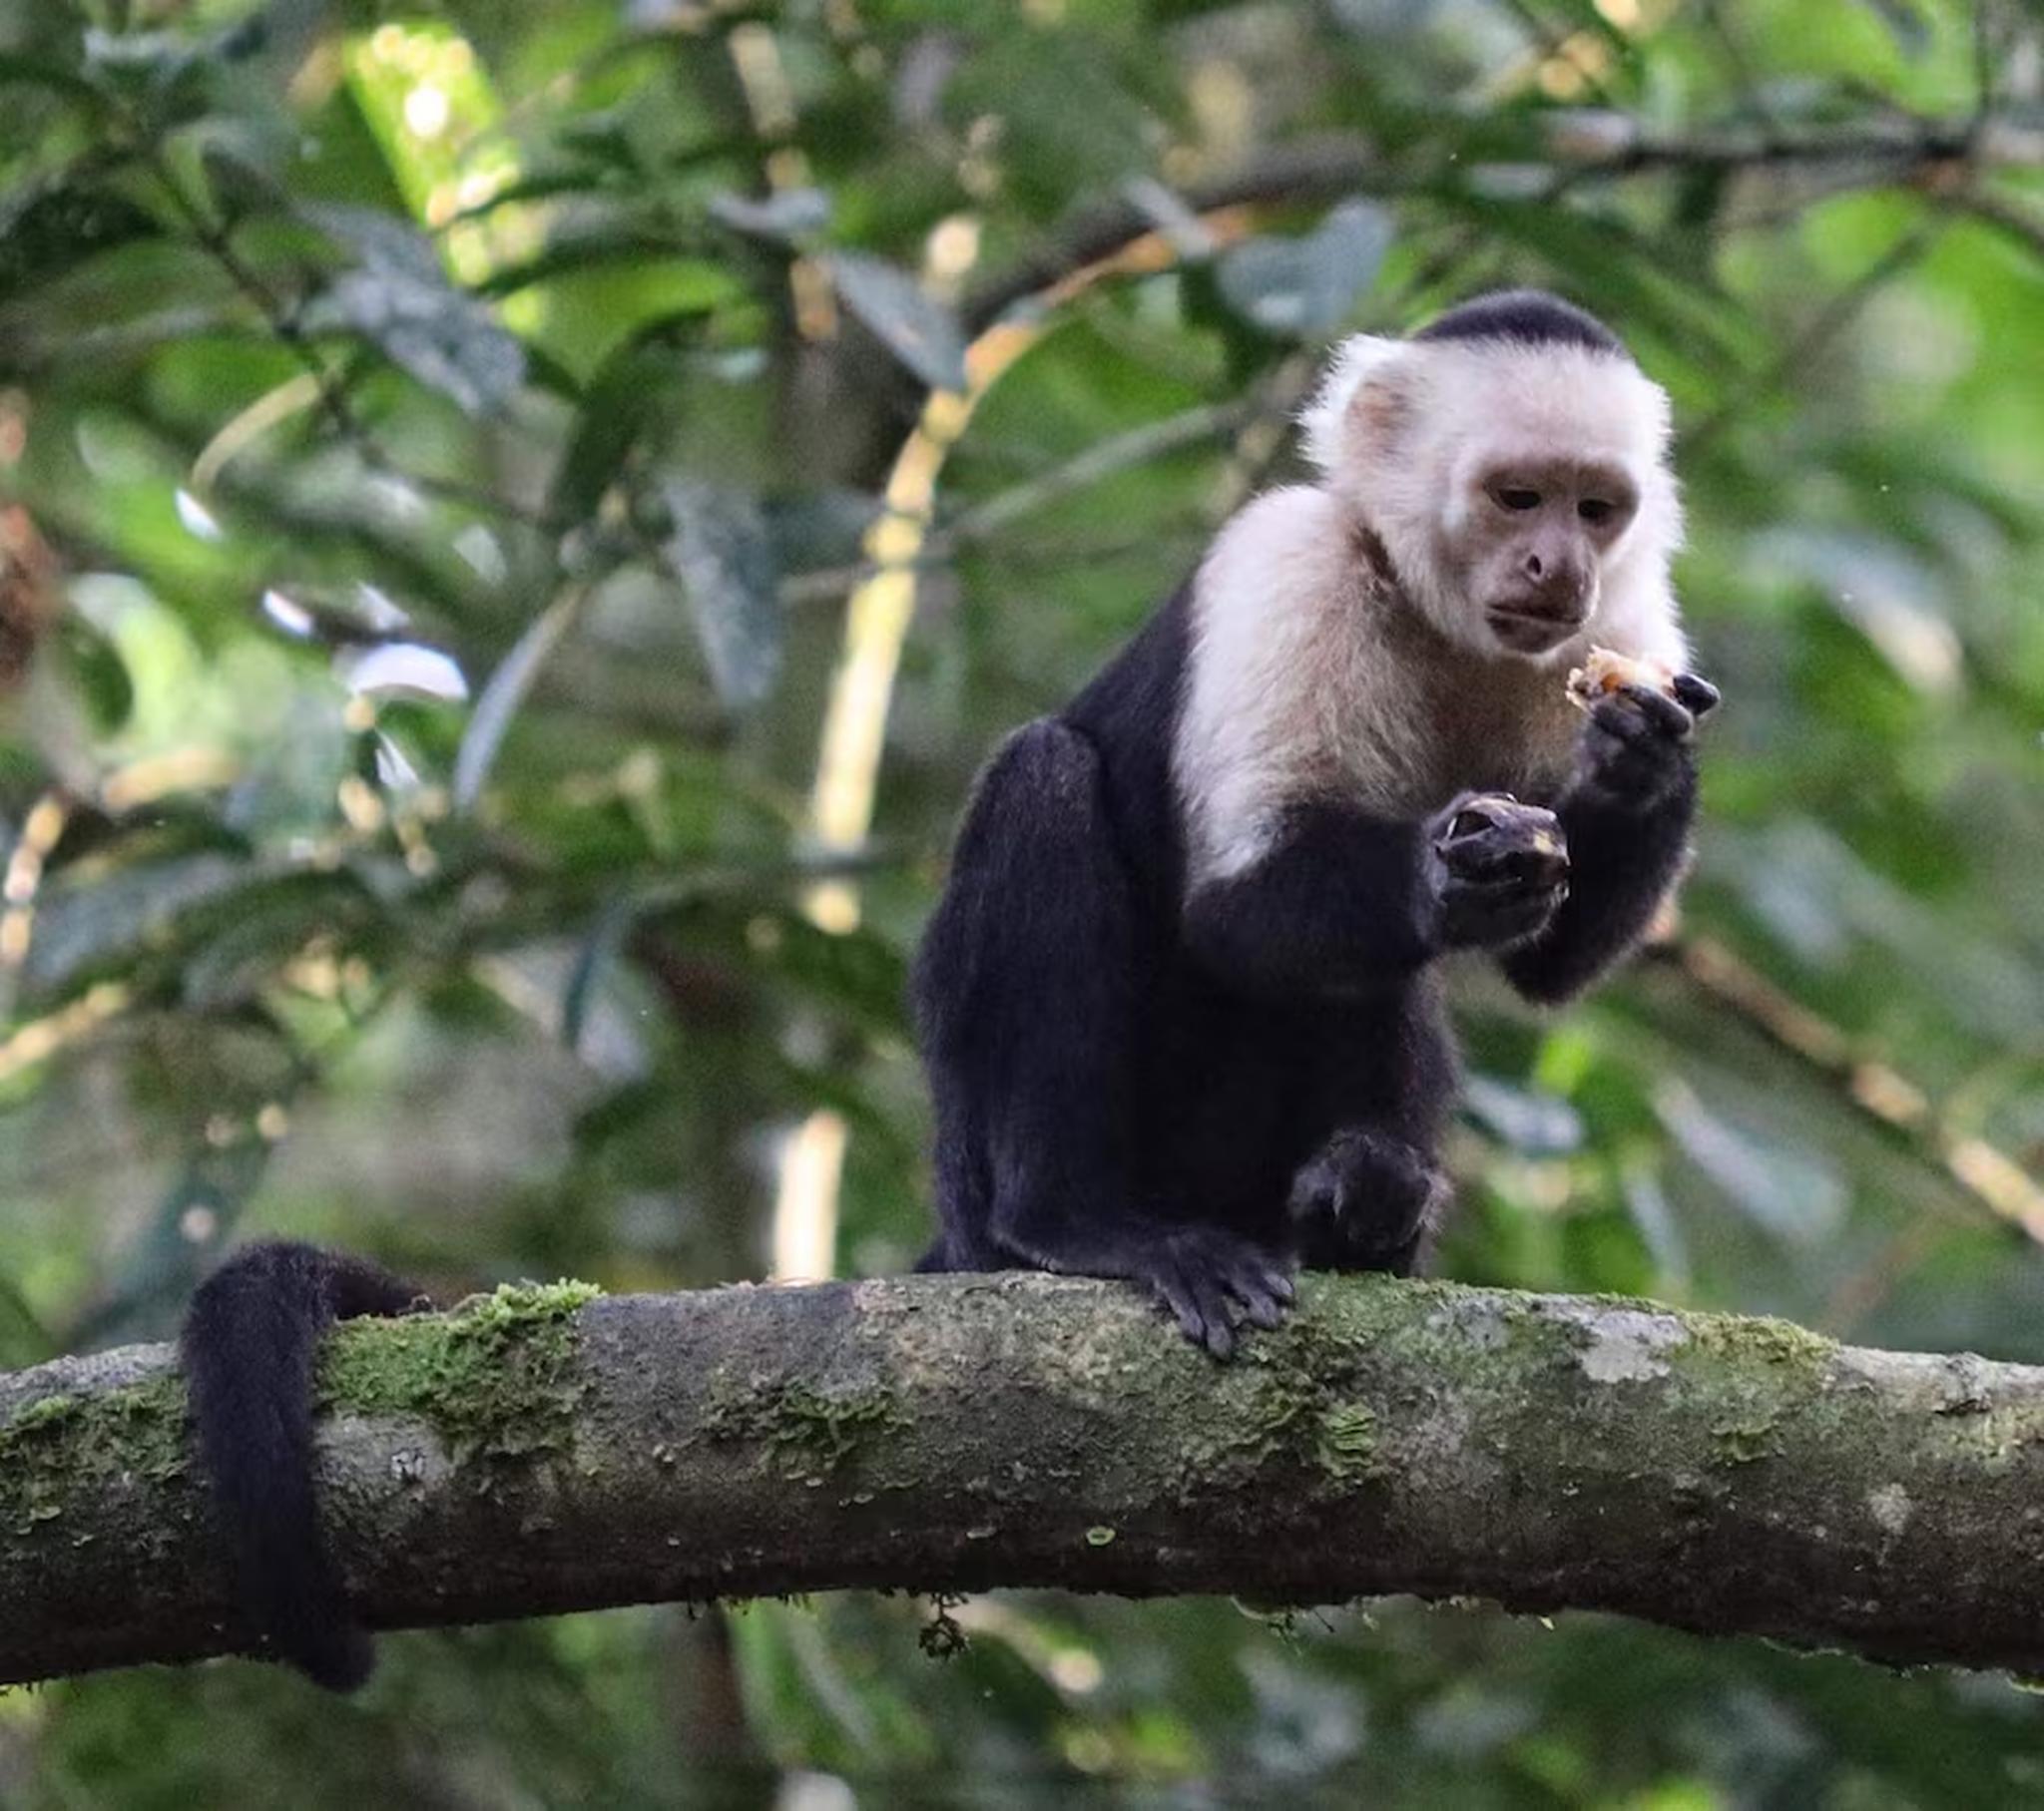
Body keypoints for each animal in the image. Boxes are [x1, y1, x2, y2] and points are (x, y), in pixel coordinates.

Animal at [911, 289, 1716, 1355]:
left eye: (1595, 509)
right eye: (1517, 497)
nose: (1558, 568)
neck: (1437, 616)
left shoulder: (1626, 620)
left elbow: (1554, 962)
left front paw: (1640, 762)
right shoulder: (1292, 561)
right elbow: (1235, 907)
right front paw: (1450, 876)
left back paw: (1361, 1207)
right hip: (977, 1172)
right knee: (1043, 780)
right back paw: (1073, 1222)